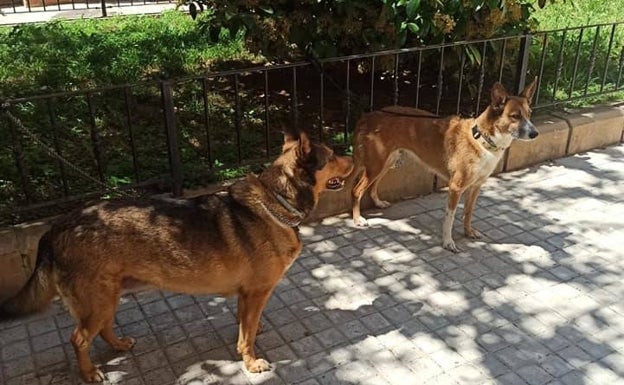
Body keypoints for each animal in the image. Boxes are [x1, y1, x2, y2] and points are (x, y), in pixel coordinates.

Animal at [0, 131, 354, 380]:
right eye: (332, 155)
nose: (353, 156)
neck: (276, 201)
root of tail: (56, 227)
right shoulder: (256, 292)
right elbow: (246, 336)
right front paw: (250, 361)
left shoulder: (248, 296)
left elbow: (246, 325)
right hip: (97, 301)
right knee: (78, 339)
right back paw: (89, 373)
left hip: (107, 297)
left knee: (101, 329)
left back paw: (118, 346)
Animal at [354, 78, 540, 252]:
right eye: (515, 116)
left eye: (529, 114)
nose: (535, 133)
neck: (481, 139)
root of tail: (370, 115)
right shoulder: (455, 187)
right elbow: (449, 219)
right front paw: (448, 242)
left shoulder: (476, 186)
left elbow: (468, 212)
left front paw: (468, 232)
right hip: (377, 164)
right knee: (357, 190)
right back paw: (357, 219)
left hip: (386, 163)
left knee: (372, 186)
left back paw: (378, 203)